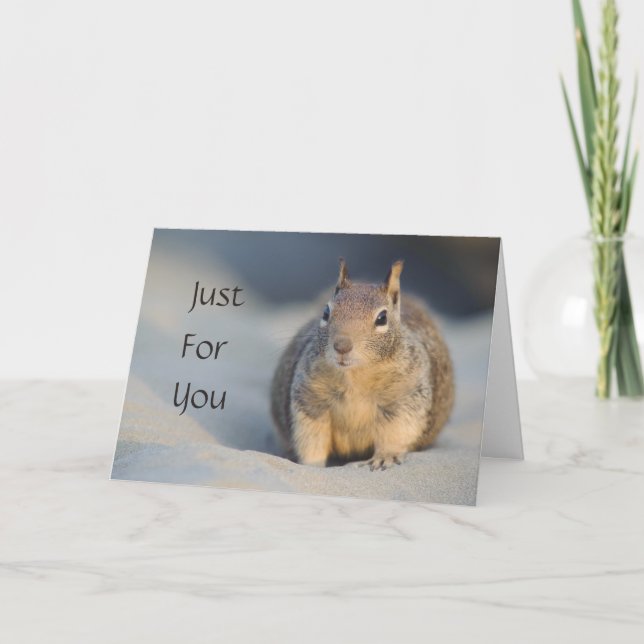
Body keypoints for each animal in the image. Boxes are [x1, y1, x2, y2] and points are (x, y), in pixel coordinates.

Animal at [270, 258, 454, 470]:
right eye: (326, 312)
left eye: (382, 318)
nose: (342, 346)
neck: (354, 376)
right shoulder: (310, 399)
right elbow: (311, 438)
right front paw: (312, 466)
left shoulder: (405, 397)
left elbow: (396, 432)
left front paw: (386, 456)